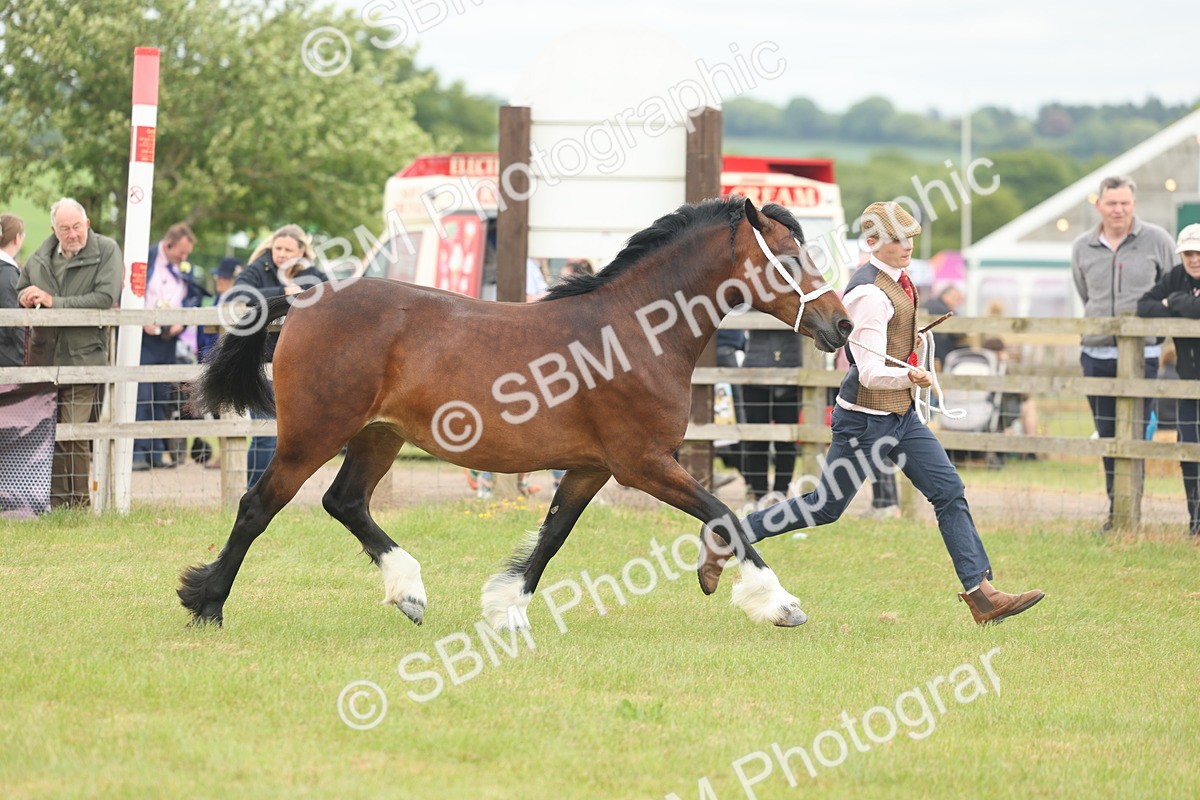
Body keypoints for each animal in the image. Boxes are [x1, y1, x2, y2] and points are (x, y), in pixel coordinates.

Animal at [178, 196, 853, 631]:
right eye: (790, 258)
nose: (842, 325)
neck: (636, 333)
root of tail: (303, 299)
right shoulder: (643, 463)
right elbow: (726, 516)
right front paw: (778, 604)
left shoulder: (590, 468)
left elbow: (552, 536)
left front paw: (506, 608)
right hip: (313, 434)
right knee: (258, 506)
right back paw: (207, 604)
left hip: (378, 436)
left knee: (344, 502)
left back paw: (410, 592)